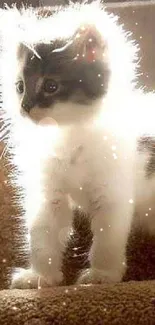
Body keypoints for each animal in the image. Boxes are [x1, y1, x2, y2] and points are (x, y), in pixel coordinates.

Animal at [0, 1, 153, 286]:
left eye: (50, 86)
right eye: (19, 87)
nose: (25, 107)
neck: (67, 135)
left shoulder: (112, 191)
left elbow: (107, 240)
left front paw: (102, 275)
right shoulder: (48, 193)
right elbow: (42, 235)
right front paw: (41, 276)